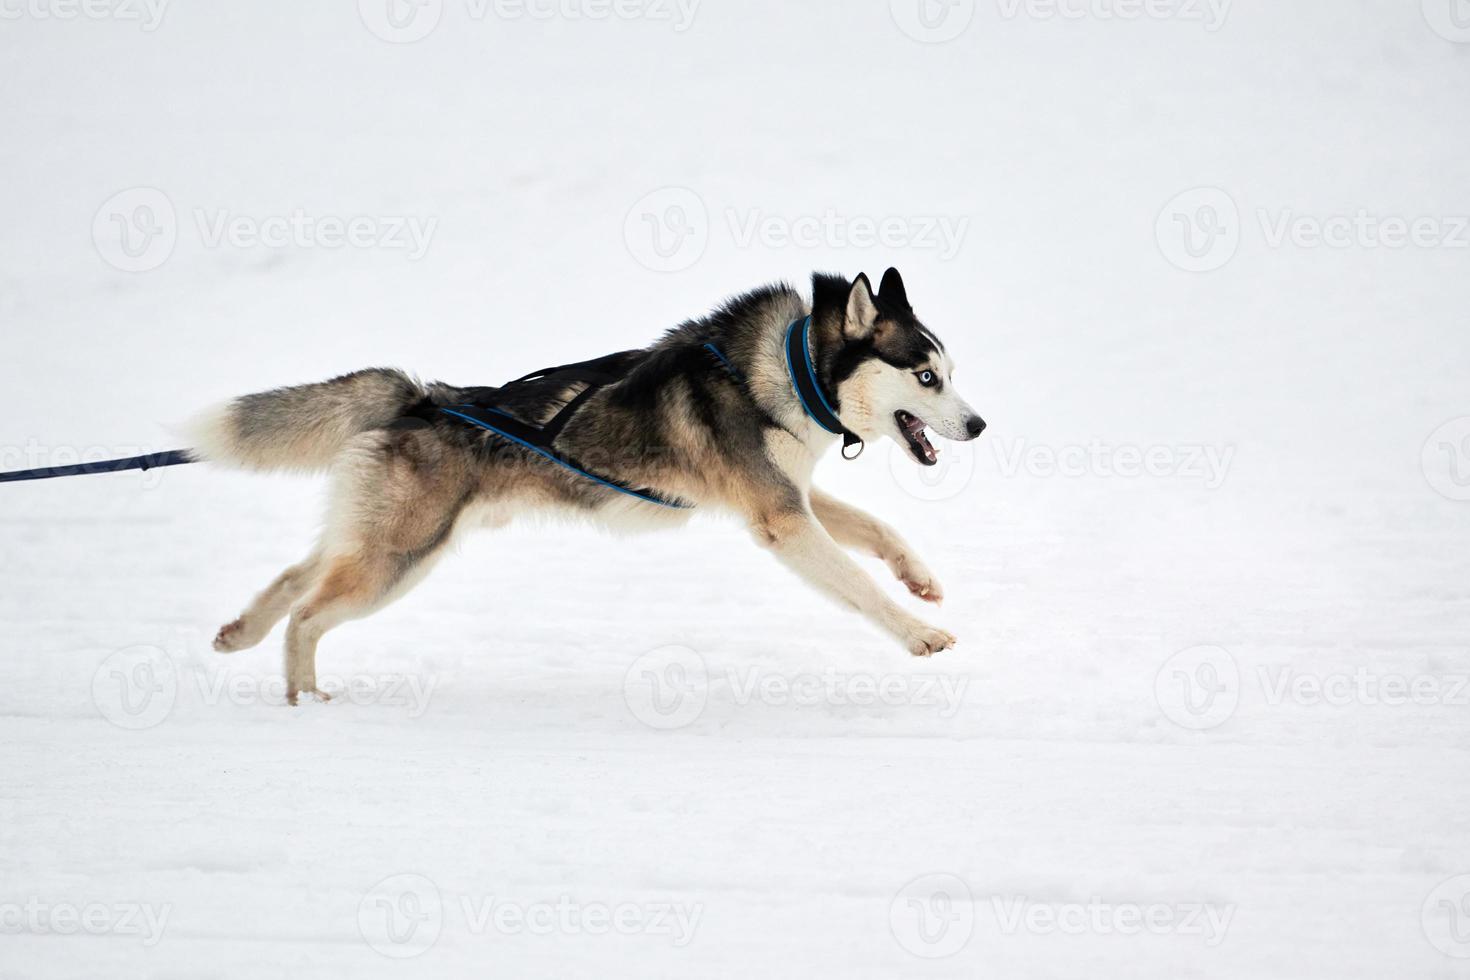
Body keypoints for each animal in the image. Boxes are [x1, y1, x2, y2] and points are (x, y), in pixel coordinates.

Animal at [186, 268, 987, 705]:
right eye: (927, 376)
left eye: (950, 374)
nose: (979, 425)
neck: (786, 371)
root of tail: (422, 397)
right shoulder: (781, 520)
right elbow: (858, 585)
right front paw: (918, 632)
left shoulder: (786, 497)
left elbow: (879, 531)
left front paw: (920, 579)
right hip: (399, 559)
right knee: (308, 614)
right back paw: (306, 698)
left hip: (388, 541)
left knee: (297, 576)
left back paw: (239, 633)